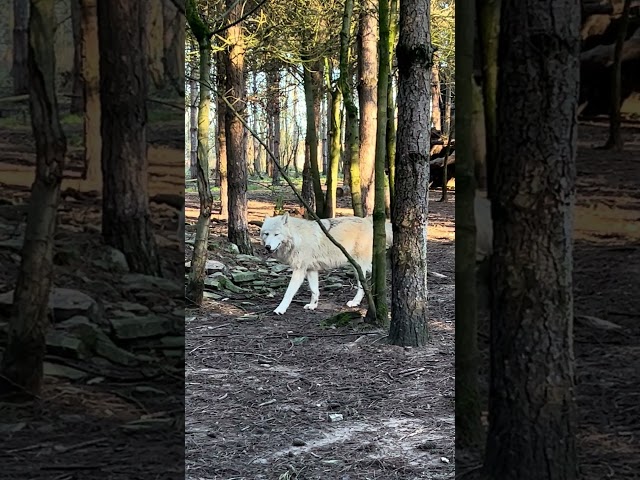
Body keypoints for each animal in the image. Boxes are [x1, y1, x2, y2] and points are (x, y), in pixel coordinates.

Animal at [258, 214, 390, 316]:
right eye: (266, 234)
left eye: (276, 234)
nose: (267, 247)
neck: (297, 238)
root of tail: (367, 220)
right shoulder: (311, 269)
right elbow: (314, 290)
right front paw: (313, 305)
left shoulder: (299, 270)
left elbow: (288, 292)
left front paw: (280, 309)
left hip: (358, 266)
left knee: (362, 285)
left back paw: (355, 302)